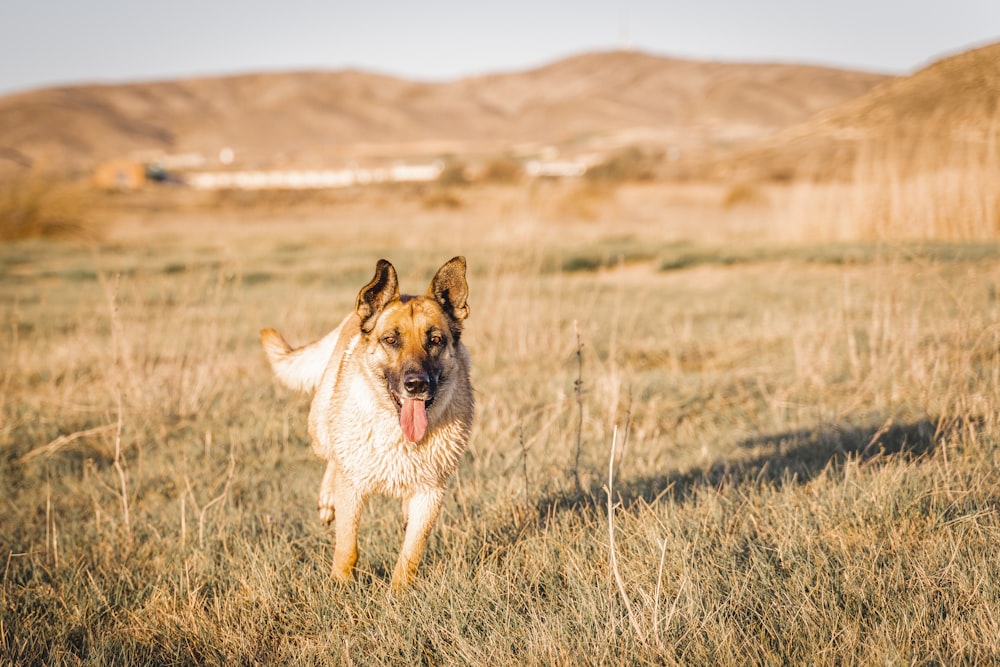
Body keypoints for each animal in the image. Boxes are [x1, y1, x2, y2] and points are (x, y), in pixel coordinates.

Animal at [262, 258, 472, 588]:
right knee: (333, 459)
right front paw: (339, 586)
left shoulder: (431, 494)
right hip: (322, 429)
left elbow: (411, 553)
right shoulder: (353, 488)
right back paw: (327, 500)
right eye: (391, 340)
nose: (416, 385)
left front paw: (399, 594)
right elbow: (347, 547)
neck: (398, 432)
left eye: (436, 340)